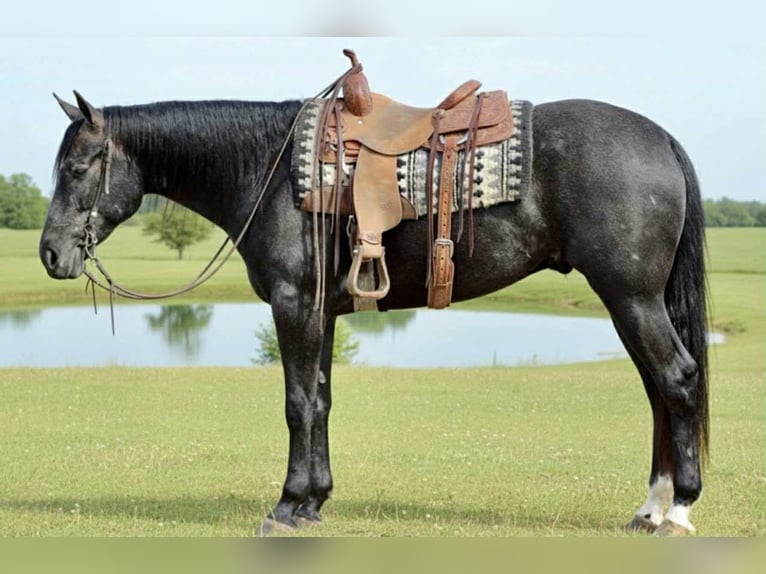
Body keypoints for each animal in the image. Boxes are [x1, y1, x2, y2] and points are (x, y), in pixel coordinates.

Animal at [39, 87, 708, 536]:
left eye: (76, 168)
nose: (49, 252)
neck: (269, 170)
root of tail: (661, 137)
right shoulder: (323, 313)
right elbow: (321, 400)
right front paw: (314, 501)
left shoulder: (294, 306)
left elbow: (298, 403)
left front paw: (287, 505)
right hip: (631, 301)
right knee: (657, 390)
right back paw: (649, 508)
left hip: (630, 297)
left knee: (675, 381)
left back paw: (677, 508)